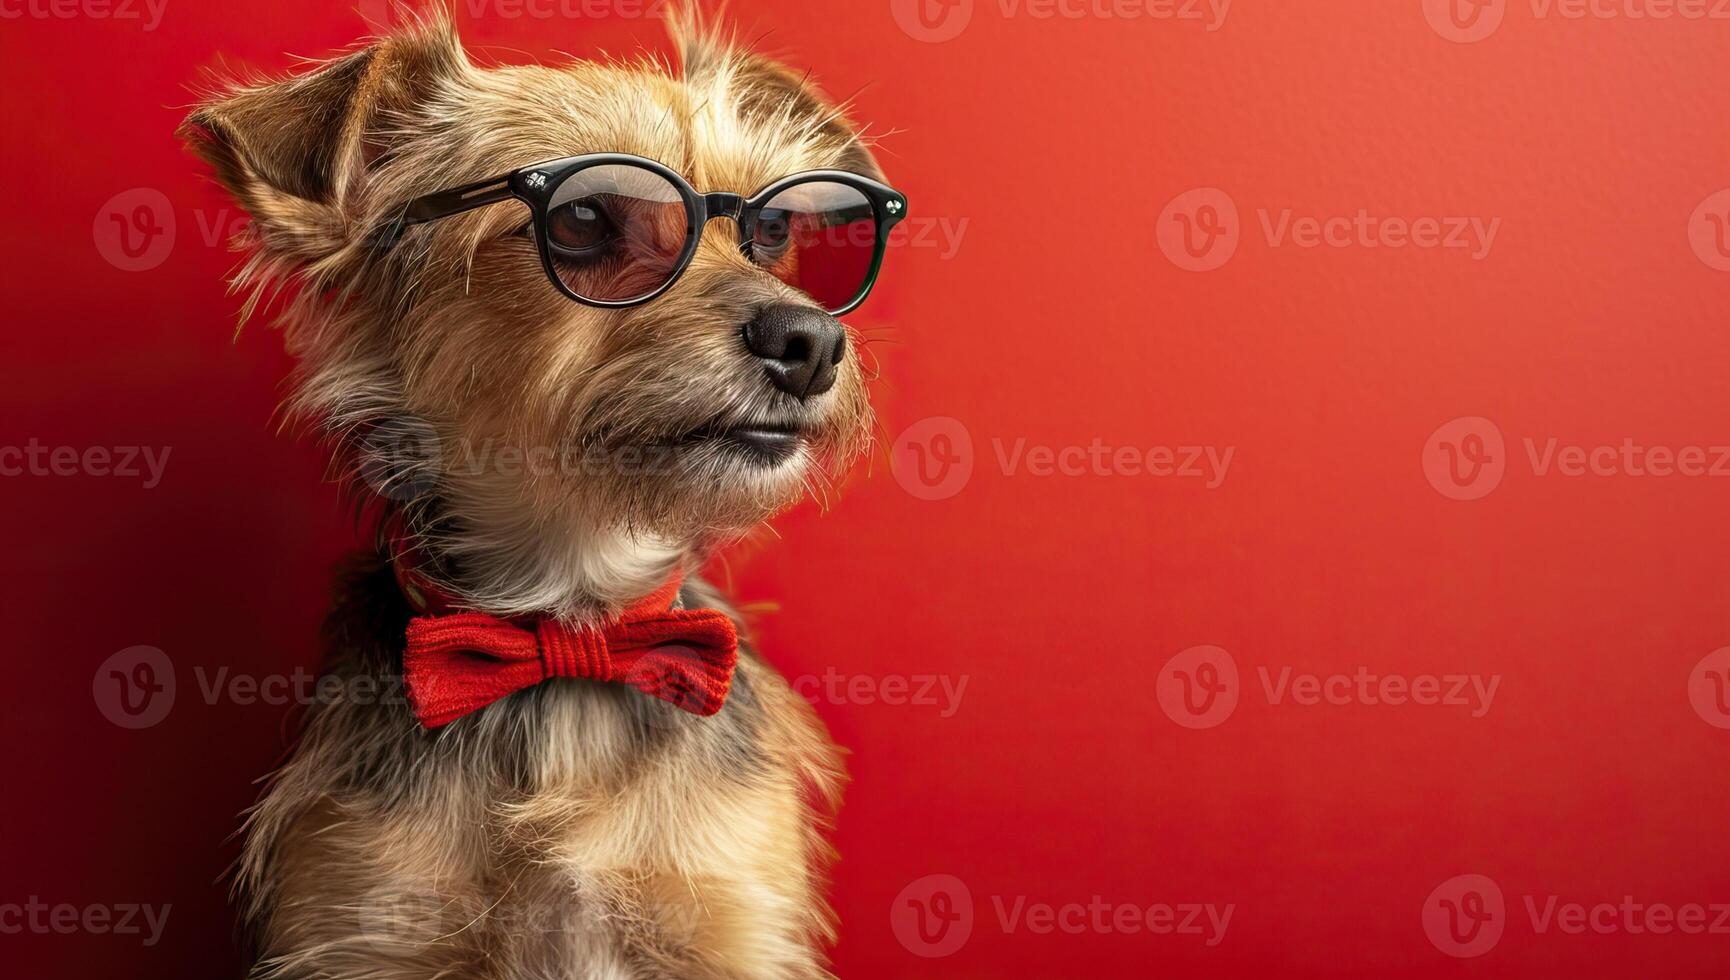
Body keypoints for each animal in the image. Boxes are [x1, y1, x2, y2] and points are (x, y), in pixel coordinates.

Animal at [177, 5, 906, 976]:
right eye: (584, 219)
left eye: (777, 232)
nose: (812, 340)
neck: (575, 627)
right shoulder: (365, 920)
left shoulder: (729, 919)